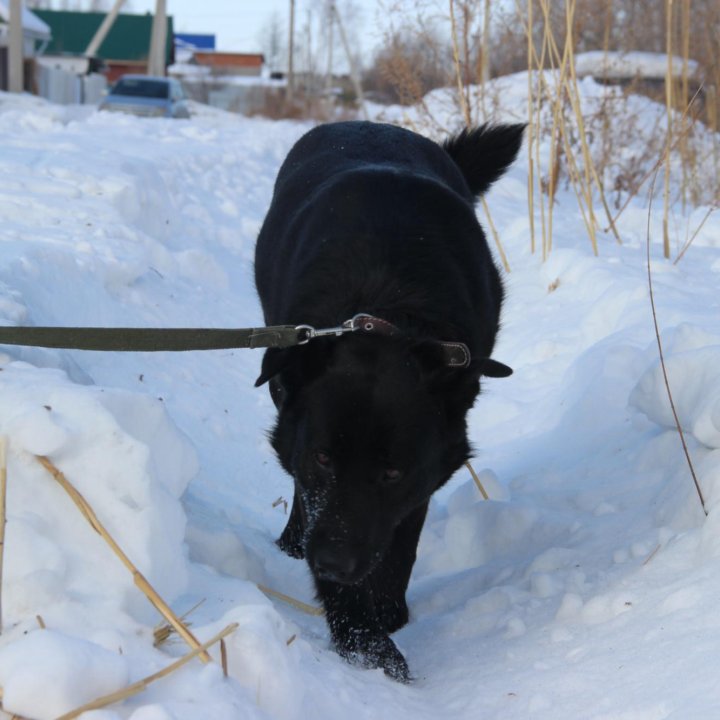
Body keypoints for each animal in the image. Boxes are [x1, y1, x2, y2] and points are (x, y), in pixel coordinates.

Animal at [253, 122, 524, 680]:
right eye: (323, 458)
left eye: (392, 472)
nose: (332, 564)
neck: (387, 307)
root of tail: (374, 125)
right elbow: (310, 496)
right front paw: (366, 643)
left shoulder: (421, 477)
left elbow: (402, 540)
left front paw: (386, 614)